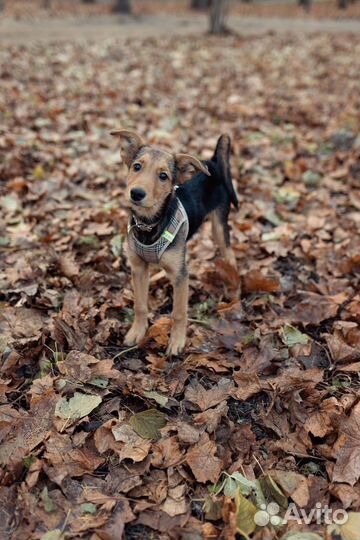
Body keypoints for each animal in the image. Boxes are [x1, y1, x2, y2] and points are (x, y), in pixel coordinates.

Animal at [111, 129, 238, 356]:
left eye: (163, 176)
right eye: (137, 166)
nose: (136, 193)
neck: (149, 225)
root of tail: (213, 161)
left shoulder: (181, 275)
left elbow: (178, 313)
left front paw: (177, 341)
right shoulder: (138, 268)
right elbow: (140, 305)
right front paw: (137, 332)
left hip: (219, 224)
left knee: (229, 252)